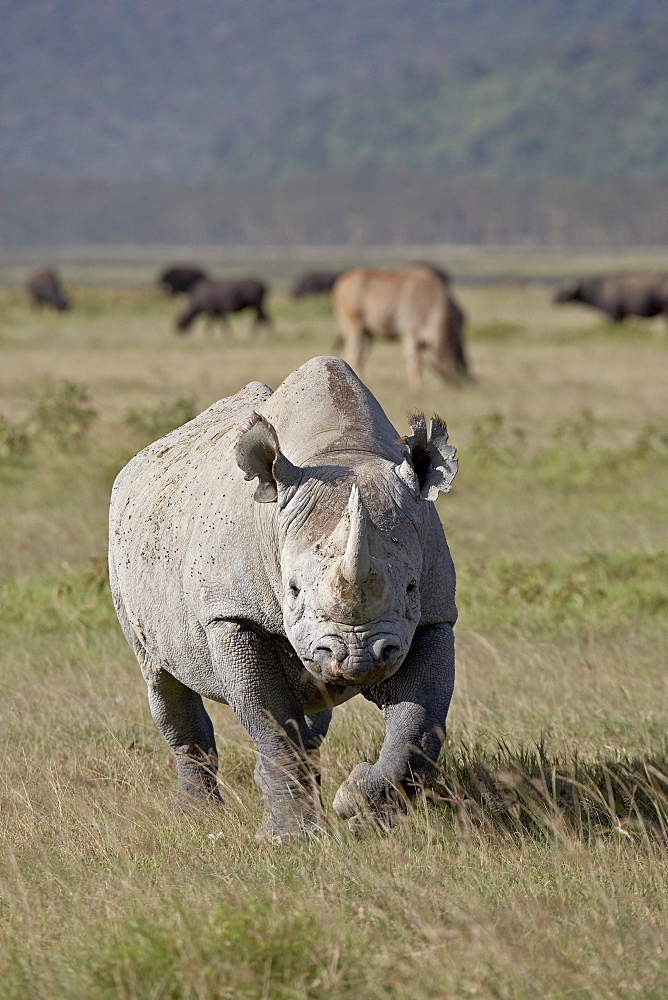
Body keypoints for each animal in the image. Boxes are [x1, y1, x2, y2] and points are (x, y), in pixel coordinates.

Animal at [109, 356, 456, 840]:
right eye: (292, 589)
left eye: (410, 588)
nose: (357, 658)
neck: (341, 452)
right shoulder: (232, 616)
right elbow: (271, 723)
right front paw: (288, 839)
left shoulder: (433, 616)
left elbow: (421, 726)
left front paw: (361, 811)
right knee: (162, 679)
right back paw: (197, 816)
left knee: (312, 711)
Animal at [332, 266, 470, 386]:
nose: (451, 386)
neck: (432, 303)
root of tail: (345, 278)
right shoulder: (410, 336)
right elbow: (416, 363)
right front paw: (417, 388)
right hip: (355, 328)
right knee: (353, 356)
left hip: (367, 334)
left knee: (359, 357)